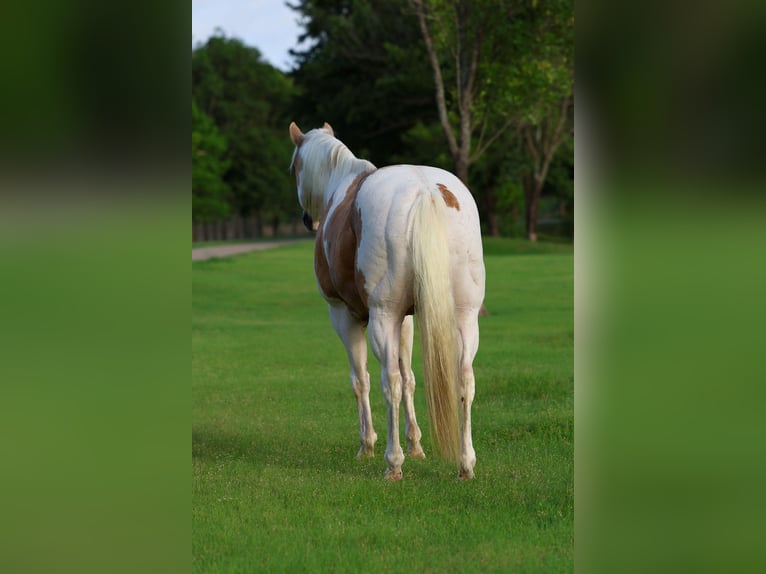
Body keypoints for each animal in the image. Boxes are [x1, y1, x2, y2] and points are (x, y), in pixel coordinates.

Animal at [289, 121, 485, 480]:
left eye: (294, 167)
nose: (308, 220)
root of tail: (426, 190)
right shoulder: (406, 320)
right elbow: (410, 379)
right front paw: (416, 444)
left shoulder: (345, 316)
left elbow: (361, 380)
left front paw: (366, 444)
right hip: (464, 318)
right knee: (464, 380)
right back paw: (465, 464)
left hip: (382, 317)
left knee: (388, 381)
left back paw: (393, 463)